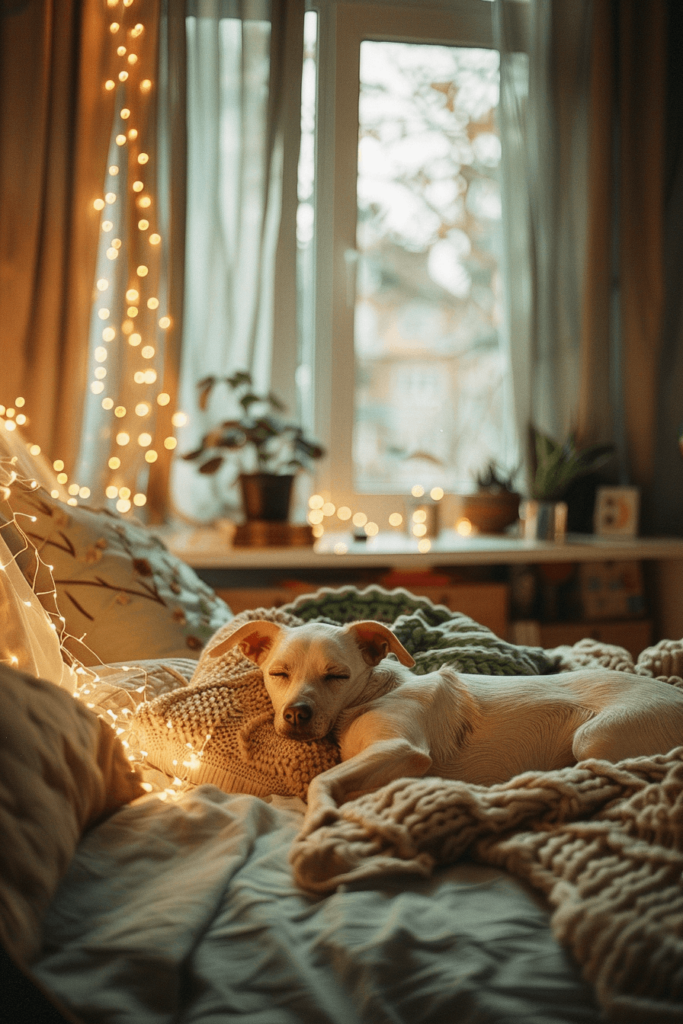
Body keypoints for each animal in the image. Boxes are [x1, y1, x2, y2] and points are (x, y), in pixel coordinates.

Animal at [210, 618, 683, 835]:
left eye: (337, 676)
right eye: (278, 674)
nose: (296, 714)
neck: (369, 697)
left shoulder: (401, 748)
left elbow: (320, 782)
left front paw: (325, 812)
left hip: (593, 737)